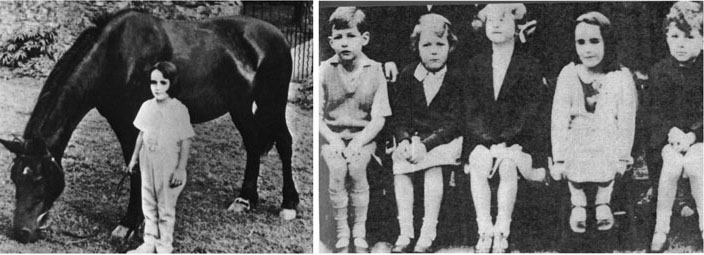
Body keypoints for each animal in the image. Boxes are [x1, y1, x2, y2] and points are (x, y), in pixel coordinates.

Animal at [0, 8, 300, 243]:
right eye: (15, 176)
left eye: (40, 178)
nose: (21, 232)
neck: (116, 56)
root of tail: (277, 34)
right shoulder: (121, 121)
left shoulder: (134, 124)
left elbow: (136, 169)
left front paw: (129, 225)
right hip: (240, 106)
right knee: (252, 144)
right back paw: (245, 199)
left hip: (272, 101)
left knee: (285, 143)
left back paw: (289, 204)